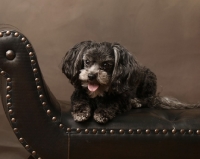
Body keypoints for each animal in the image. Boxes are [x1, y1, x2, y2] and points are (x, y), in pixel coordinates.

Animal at [61, 40, 199, 123]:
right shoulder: (78, 93)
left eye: (106, 64)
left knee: (148, 101)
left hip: (149, 79)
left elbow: (111, 103)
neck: (98, 93)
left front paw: (102, 112)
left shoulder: (122, 99)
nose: (91, 76)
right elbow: (80, 101)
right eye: (87, 61)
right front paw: (81, 112)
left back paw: (137, 102)